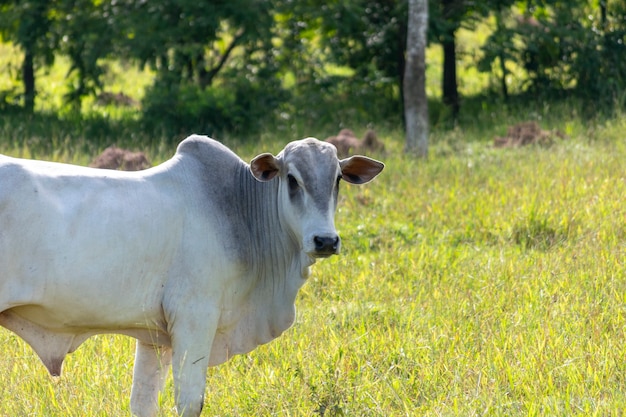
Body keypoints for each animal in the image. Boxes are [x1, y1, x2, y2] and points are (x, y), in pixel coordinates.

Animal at [0, 135, 382, 414]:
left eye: (337, 180)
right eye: (292, 179)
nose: (325, 240)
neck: (239, 210)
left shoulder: (152, 335)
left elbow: (143, 404)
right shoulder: (195, 318)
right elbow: (189, 402)